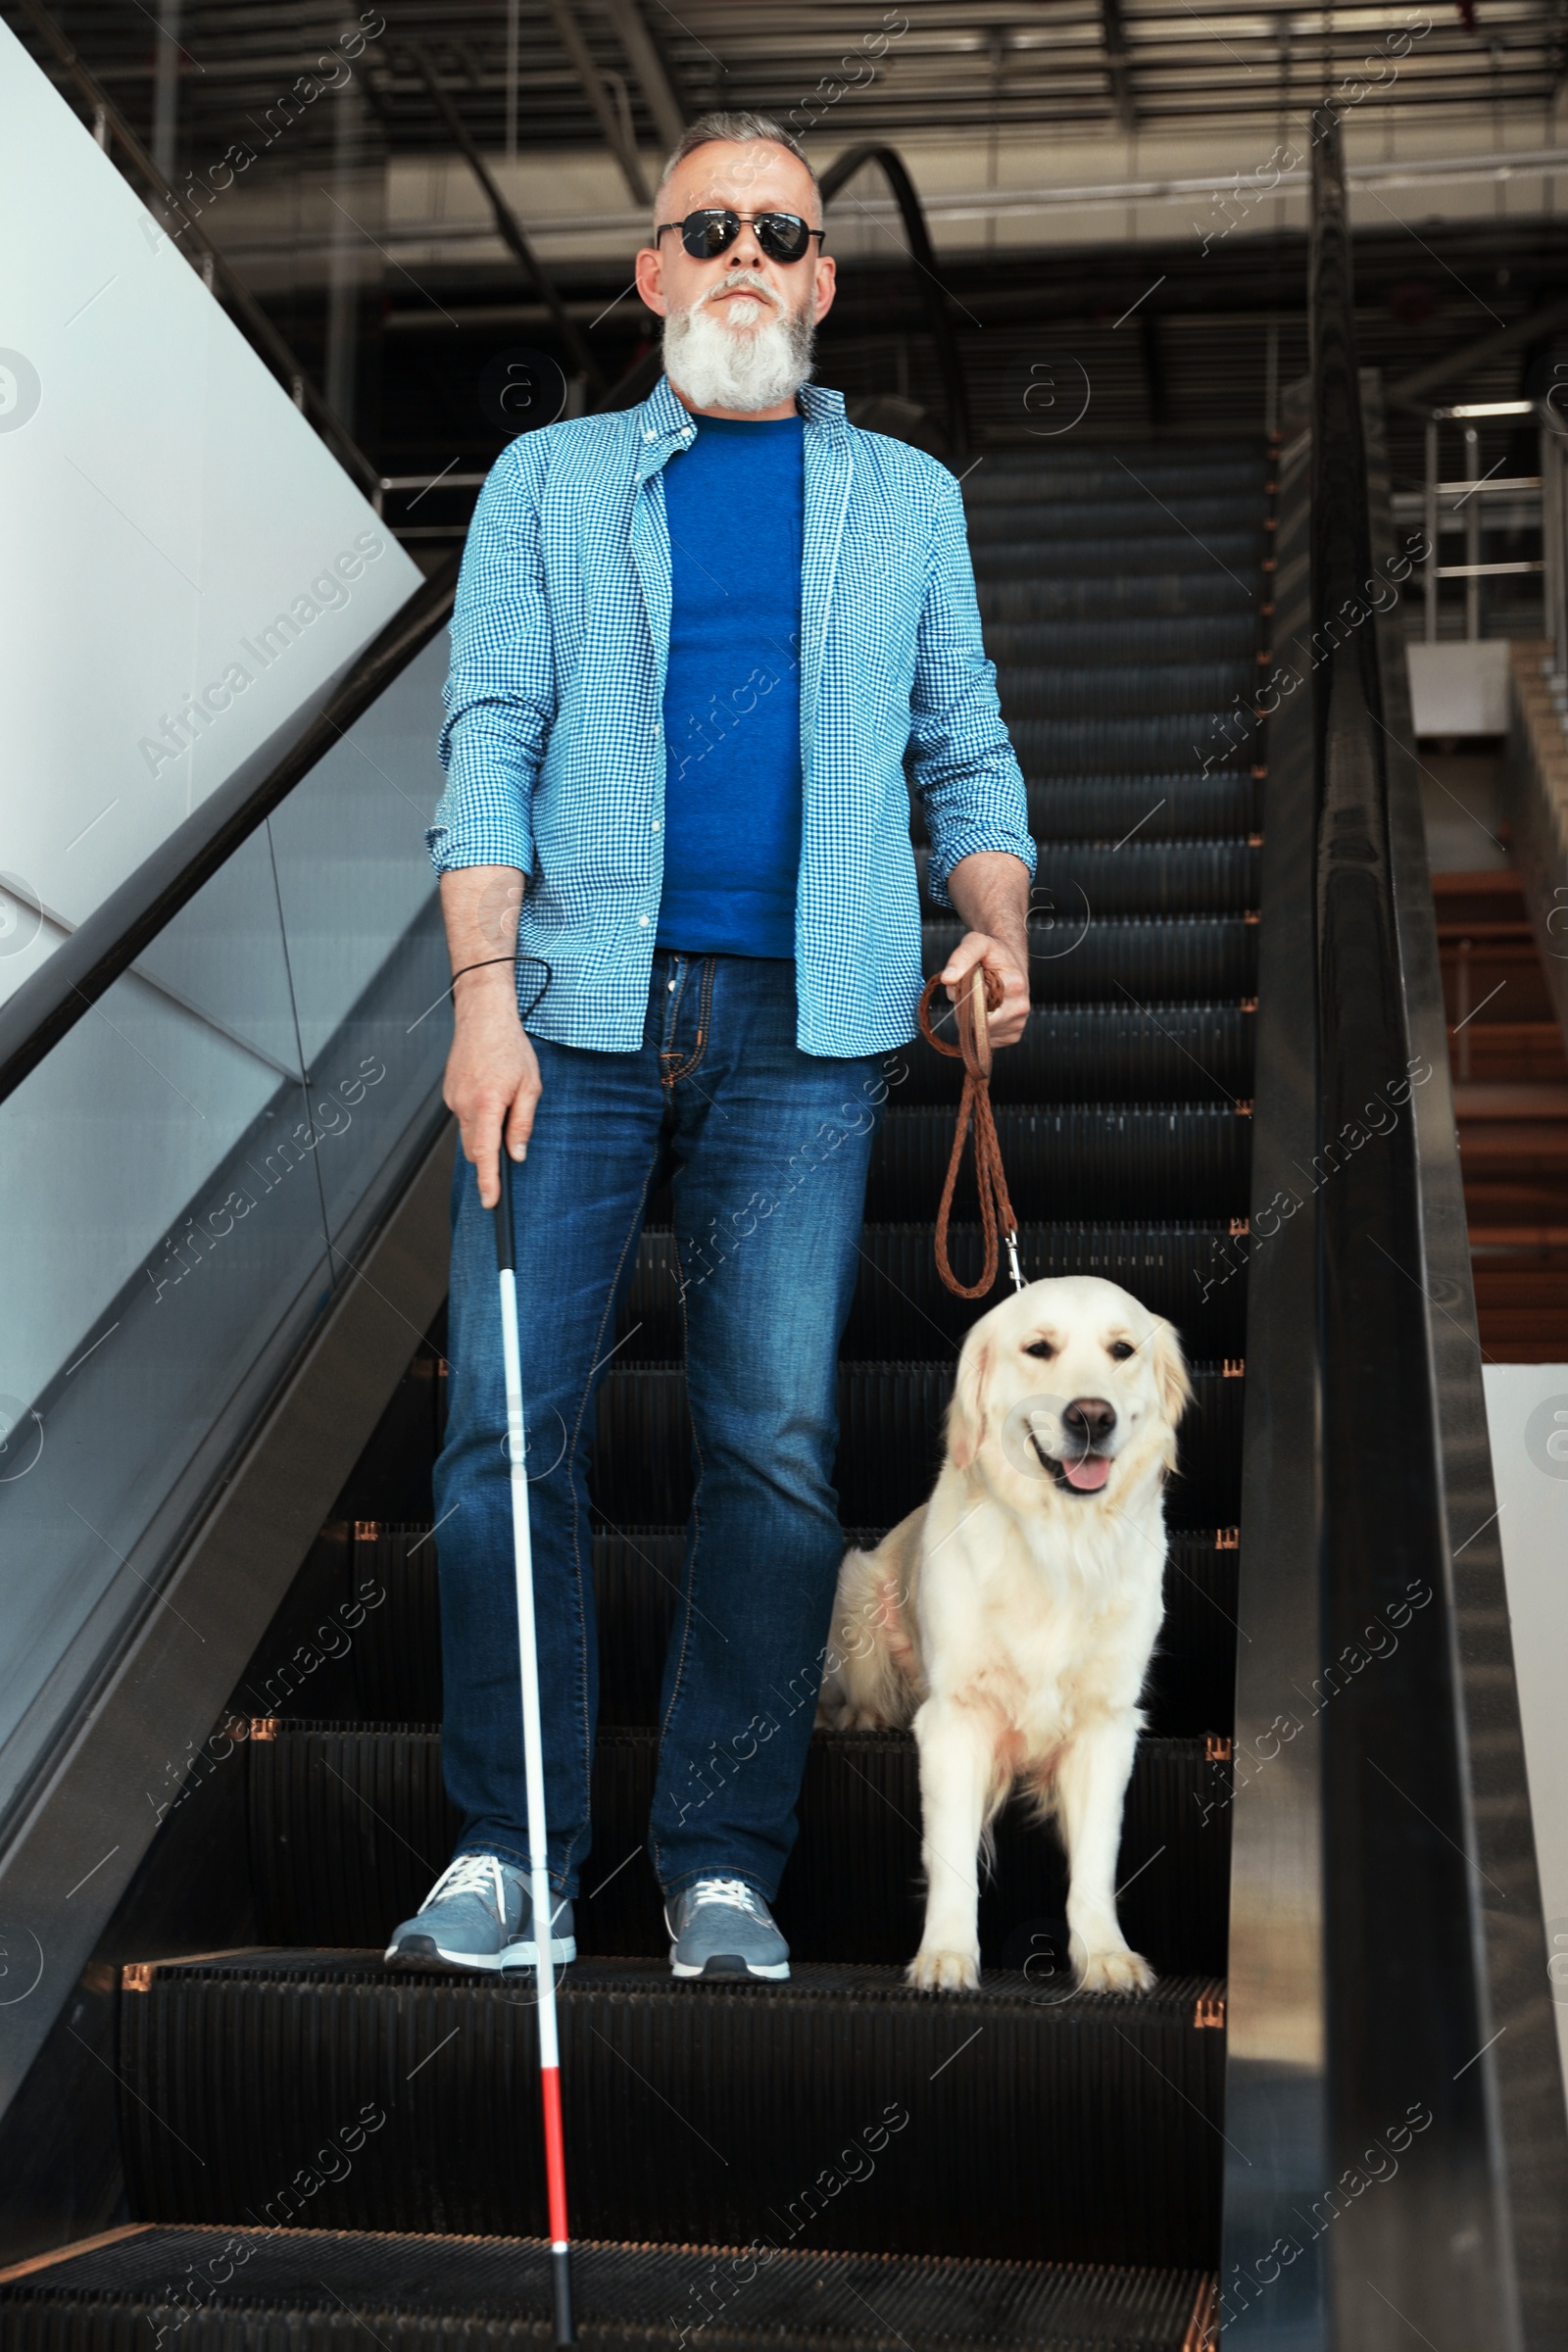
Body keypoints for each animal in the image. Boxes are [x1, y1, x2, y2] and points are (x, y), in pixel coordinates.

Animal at [822, 1279, 1189, 1994]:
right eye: (1038, 1348)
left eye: (1122, 1350)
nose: (1091, 1417)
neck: (1063, 1542)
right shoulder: (955, 1719)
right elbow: (952, 1857)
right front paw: (945, 1954)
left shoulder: (1107, 1724)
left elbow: (1097, 1858)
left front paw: (1105, 1954)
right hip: (857, 1590)